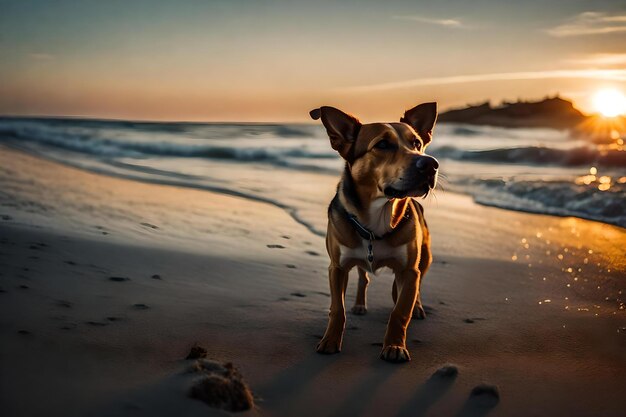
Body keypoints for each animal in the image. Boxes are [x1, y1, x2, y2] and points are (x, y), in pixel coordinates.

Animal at [308, 103, 436, 360]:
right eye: (382, 145)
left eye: (417, 143)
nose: (430, 164)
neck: (378, 218)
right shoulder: (337, 268)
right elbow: (337, 308)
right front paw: (330, 341)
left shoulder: (409, 271)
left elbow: (400, 312)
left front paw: (395, 346)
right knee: (363, 277)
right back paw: (359, 304)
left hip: (425, 257)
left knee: (415, 286)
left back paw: (417, 306)